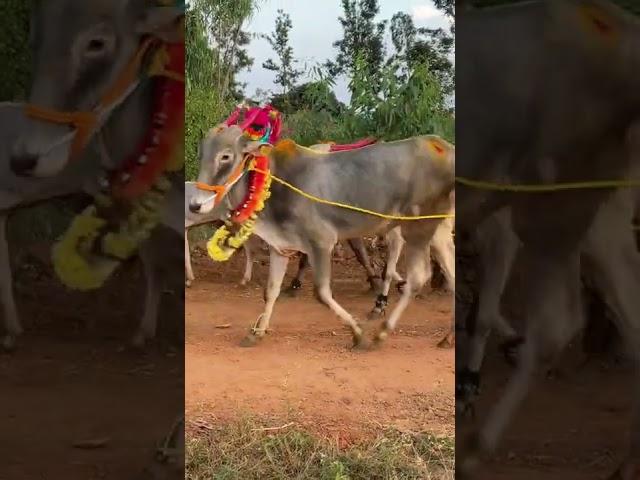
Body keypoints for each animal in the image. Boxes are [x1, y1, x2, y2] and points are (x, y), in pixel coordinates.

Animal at [190, 125, 456, 346]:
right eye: (202, 154)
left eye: (226, 156)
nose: (195, 205)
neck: (276, 182)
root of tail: (444, 147)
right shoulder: (280, 247)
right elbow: (271, 291)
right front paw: (256, 333)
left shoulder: (322, 242)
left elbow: (321, 292)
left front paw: (358, 333)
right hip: (439, 232)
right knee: (451, 274)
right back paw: (447, 338)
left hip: (417, 228)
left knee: (418, 277)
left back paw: (383, 331)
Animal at [458, 1, 640, 478]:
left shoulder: (497, 221)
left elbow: (483, 309)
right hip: (595, 212)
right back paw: (627, 462)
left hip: (553, 203)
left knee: (558, 323)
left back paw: (476, 448)